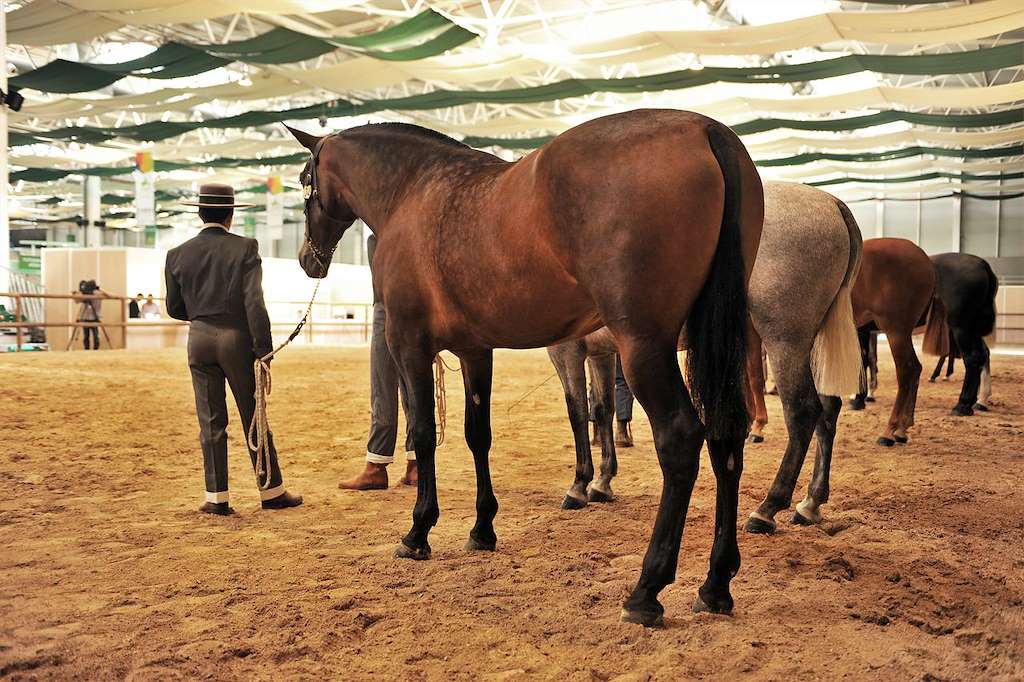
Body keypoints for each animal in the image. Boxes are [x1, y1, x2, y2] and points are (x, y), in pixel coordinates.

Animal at [284, 109, 765, 622]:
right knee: (726, 436)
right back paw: (715, 585)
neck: (413, 192)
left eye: (305, 179)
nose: (308, 260)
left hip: (644, 346)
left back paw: (646, 590)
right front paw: (482, 529)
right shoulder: (475, 351)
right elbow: (478, 435)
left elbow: (423, 434)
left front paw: (417, 533)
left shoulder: (409, 345)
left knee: (680, 438)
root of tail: (705, 130)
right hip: (713, 342)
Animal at [544, 183, 864, 532]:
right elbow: (602, 410)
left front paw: (579, 486)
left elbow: (577, 412)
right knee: (828, 411)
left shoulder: (566, 350)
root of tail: (831, 202)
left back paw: (767, 509)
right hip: (815, 340)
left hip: (785, 340)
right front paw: (602, 483)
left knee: (803, 412)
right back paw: (810, 503)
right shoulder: (601, 354)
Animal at [843, 236, 946, 444]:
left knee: (908, 370)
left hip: (896, 331)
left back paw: (891, 430)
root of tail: (927, 262)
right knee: (915, 370)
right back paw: (903, 428)